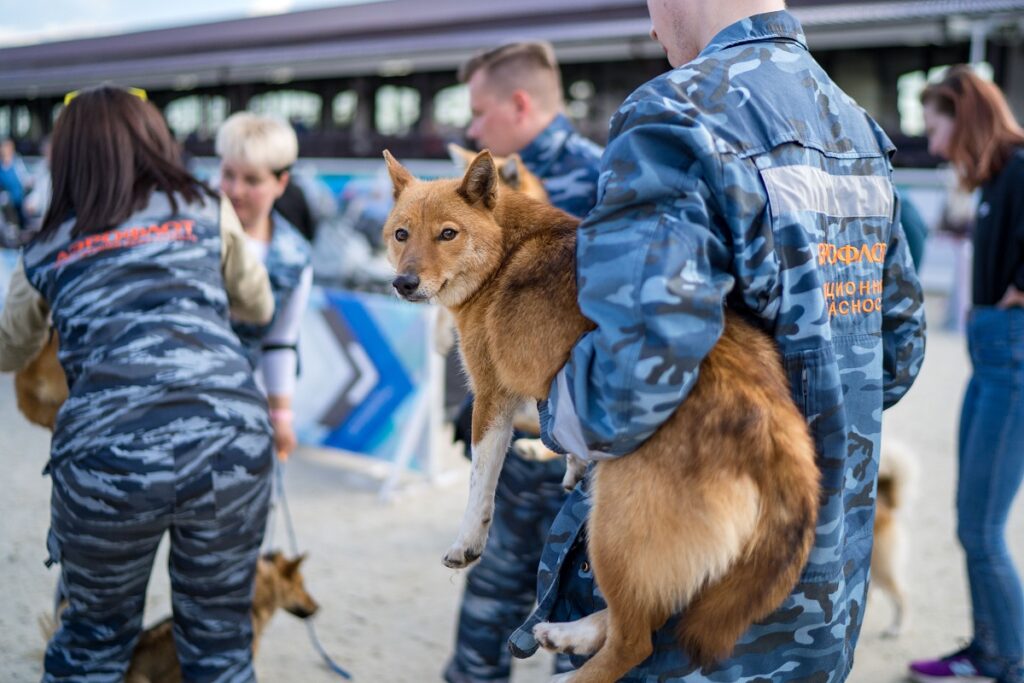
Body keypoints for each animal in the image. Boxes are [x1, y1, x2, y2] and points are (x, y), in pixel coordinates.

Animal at [380, 150, 819, 683]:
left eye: (448, 233)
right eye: (402, 234)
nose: (404, 283)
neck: (506, 248)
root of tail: (774, 432)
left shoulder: (492, 396)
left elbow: (480, 483)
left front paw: (468, 541)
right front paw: (566, 463)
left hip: (612, 531)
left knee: (636, 642)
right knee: (650, 618)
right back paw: (569, 633)